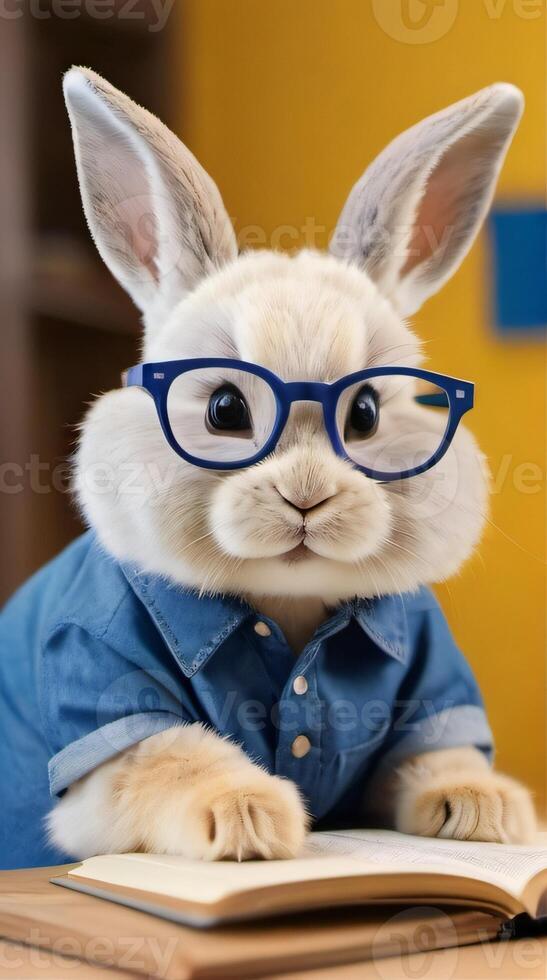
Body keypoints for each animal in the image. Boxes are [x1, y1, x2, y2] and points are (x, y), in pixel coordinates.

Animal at [1, 65, 540, 868]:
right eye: (225, 408)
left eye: (366, 414)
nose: (306, 498)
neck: (287, 605)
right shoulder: (103, 699)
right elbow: (177, 759)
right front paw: (250, 821)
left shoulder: (430, 689)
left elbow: (433, 757)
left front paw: (485, 811)